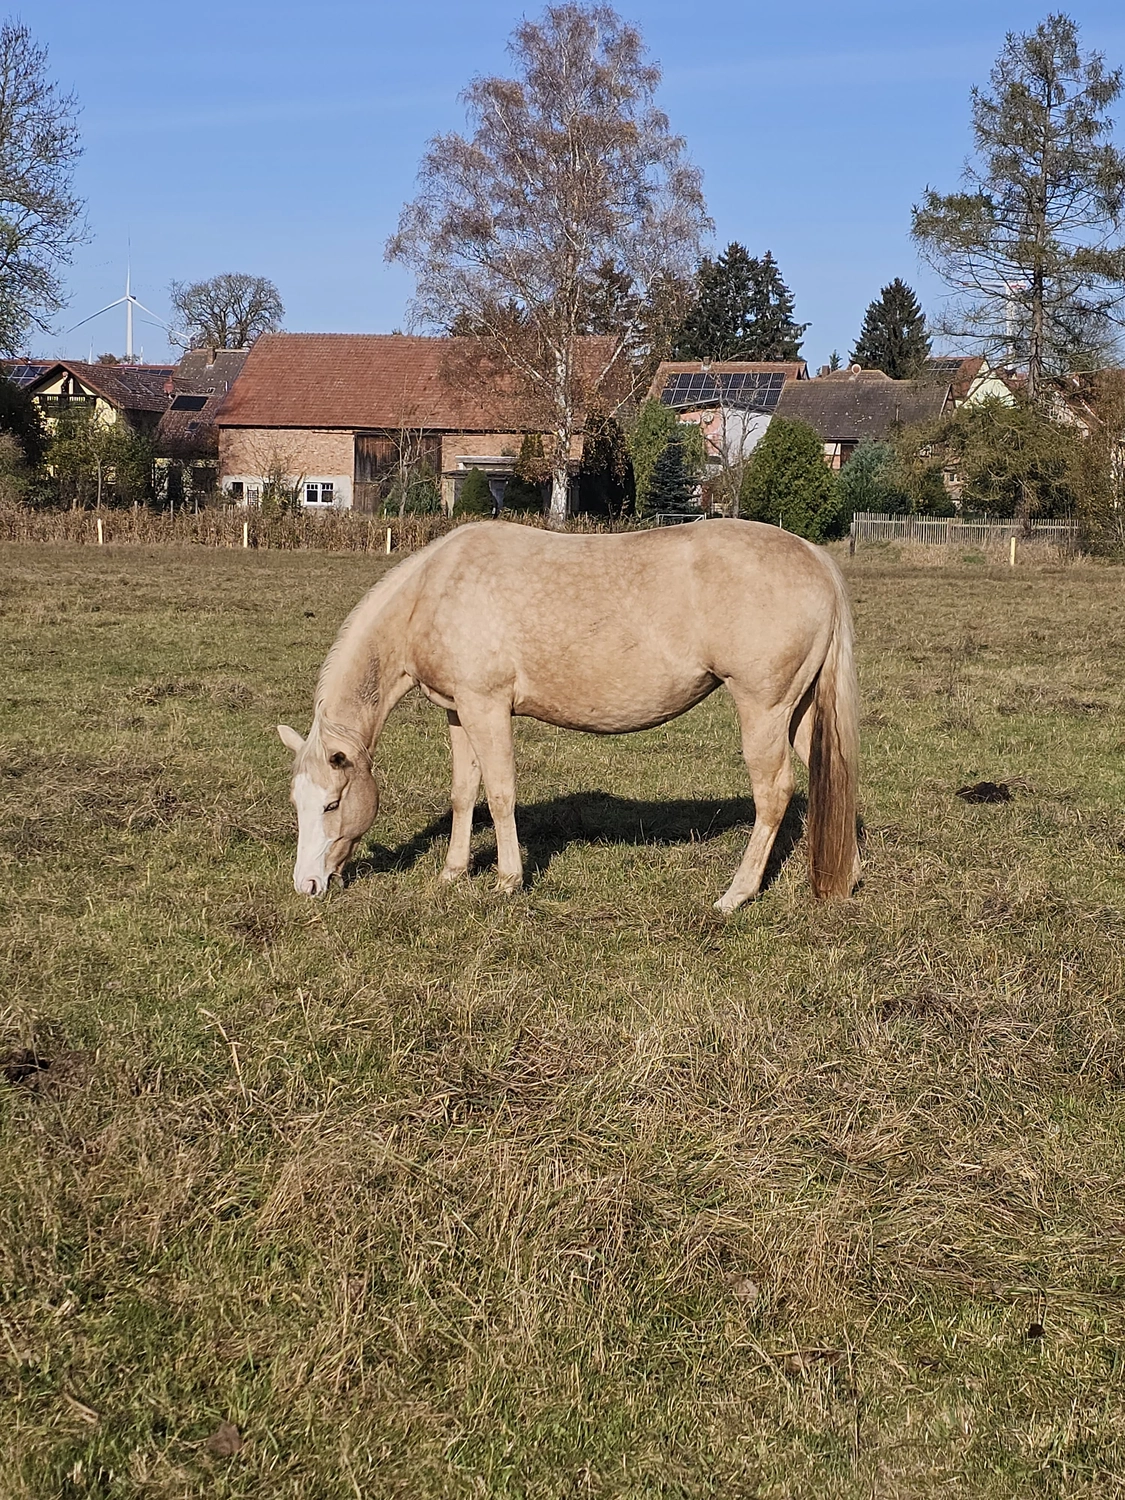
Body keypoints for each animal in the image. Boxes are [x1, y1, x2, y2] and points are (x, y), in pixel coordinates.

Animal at [277, 518, 859, 913]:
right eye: (297, 803)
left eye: (332, 804)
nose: (306, 885)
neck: (433, 592)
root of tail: (814, 558)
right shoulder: (460, 713)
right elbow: (464, 794)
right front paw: (452, 873)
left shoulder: (488, 707)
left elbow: (500, 793)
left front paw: (507, 881)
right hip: (800, 713)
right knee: (831, 776)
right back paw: (845, 874)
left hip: (763, 710)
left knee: (774, 793)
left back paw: (734, 895)